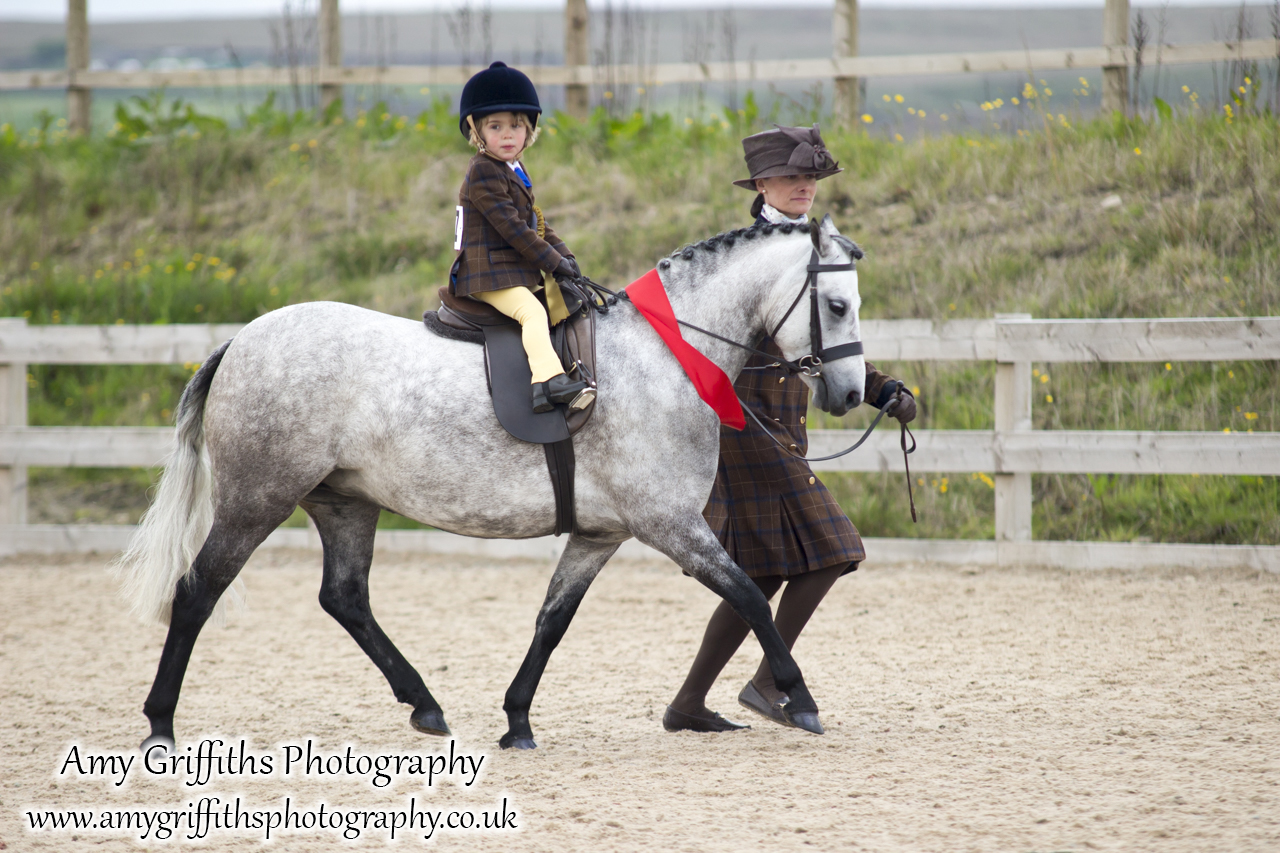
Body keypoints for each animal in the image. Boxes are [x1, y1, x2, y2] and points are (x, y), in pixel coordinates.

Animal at [117, 216, 870, 747]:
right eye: (836, 305)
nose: (852, 393)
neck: (663, 357)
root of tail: (242, 340)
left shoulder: (600, 535)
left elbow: (552, 620)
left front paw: (517, 721)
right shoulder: (670, 524)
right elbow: (749, 597)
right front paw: (800, 700)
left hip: (344, 502)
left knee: (345, 598)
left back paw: (425, 705)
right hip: (256, 500)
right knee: (197, 591)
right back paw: (160, 724)